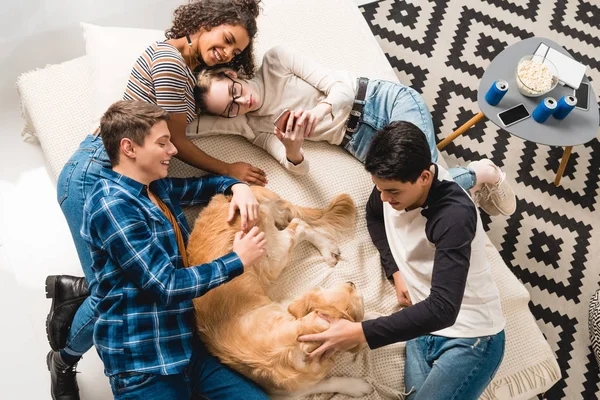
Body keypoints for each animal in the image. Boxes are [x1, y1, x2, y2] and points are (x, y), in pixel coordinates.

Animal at [189, 187, 376, 396]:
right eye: (350, 289)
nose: (352, 282)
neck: (295, 344)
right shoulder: (289, 392)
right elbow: (329, 381)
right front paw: (357, 386)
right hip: (271, 254)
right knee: (298, 225)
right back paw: (327, 249)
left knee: (299, 224)